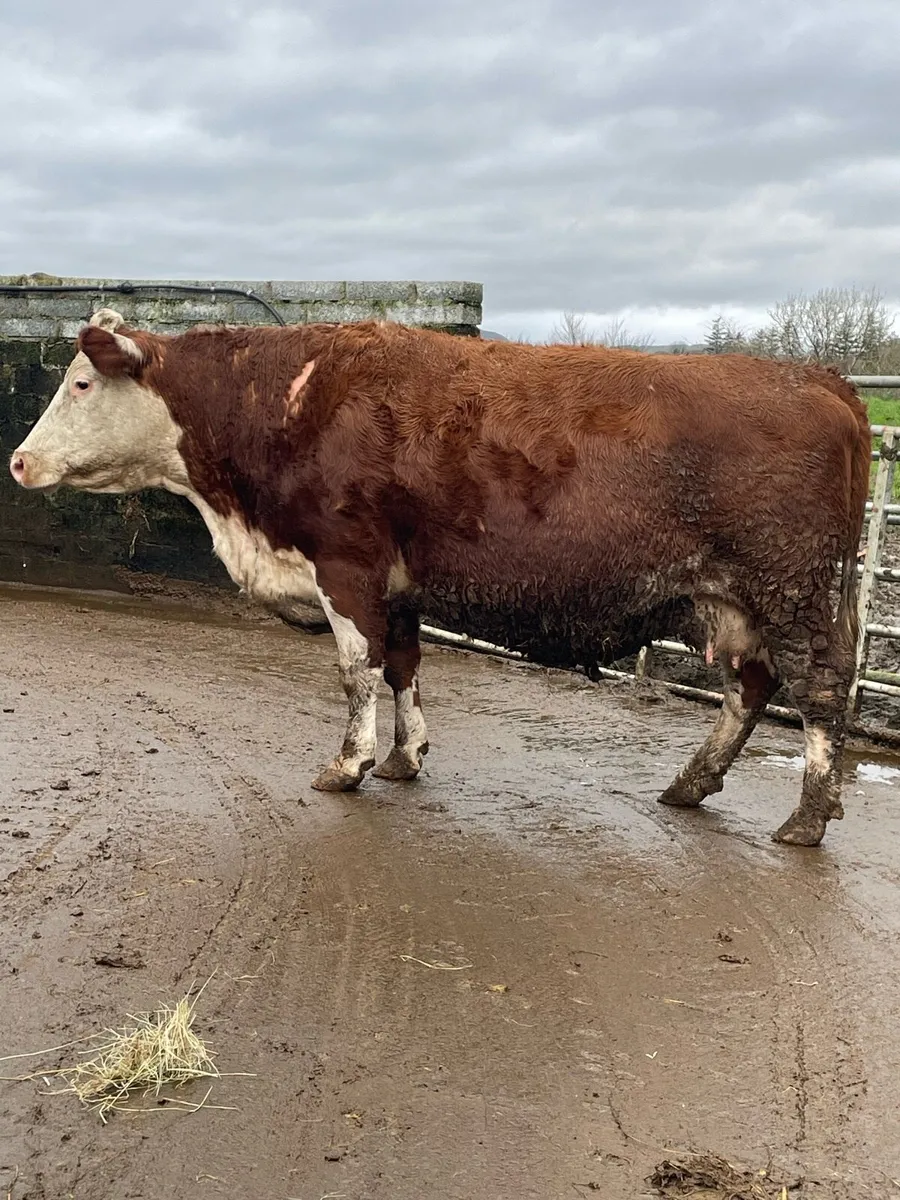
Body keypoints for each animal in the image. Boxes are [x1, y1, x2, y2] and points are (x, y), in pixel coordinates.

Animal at [9, 309, 871, 846]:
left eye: (80, 383)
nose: (18, 461)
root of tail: (821, 379)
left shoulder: (347, 563)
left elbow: (356, 670)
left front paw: (349, 763)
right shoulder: (399, 584)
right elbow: (403, 667)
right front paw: (404, 756)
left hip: (792, 589)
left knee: (822, 690)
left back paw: (807, 817)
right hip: (735, 600)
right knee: (751, 687)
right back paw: (694, 781)